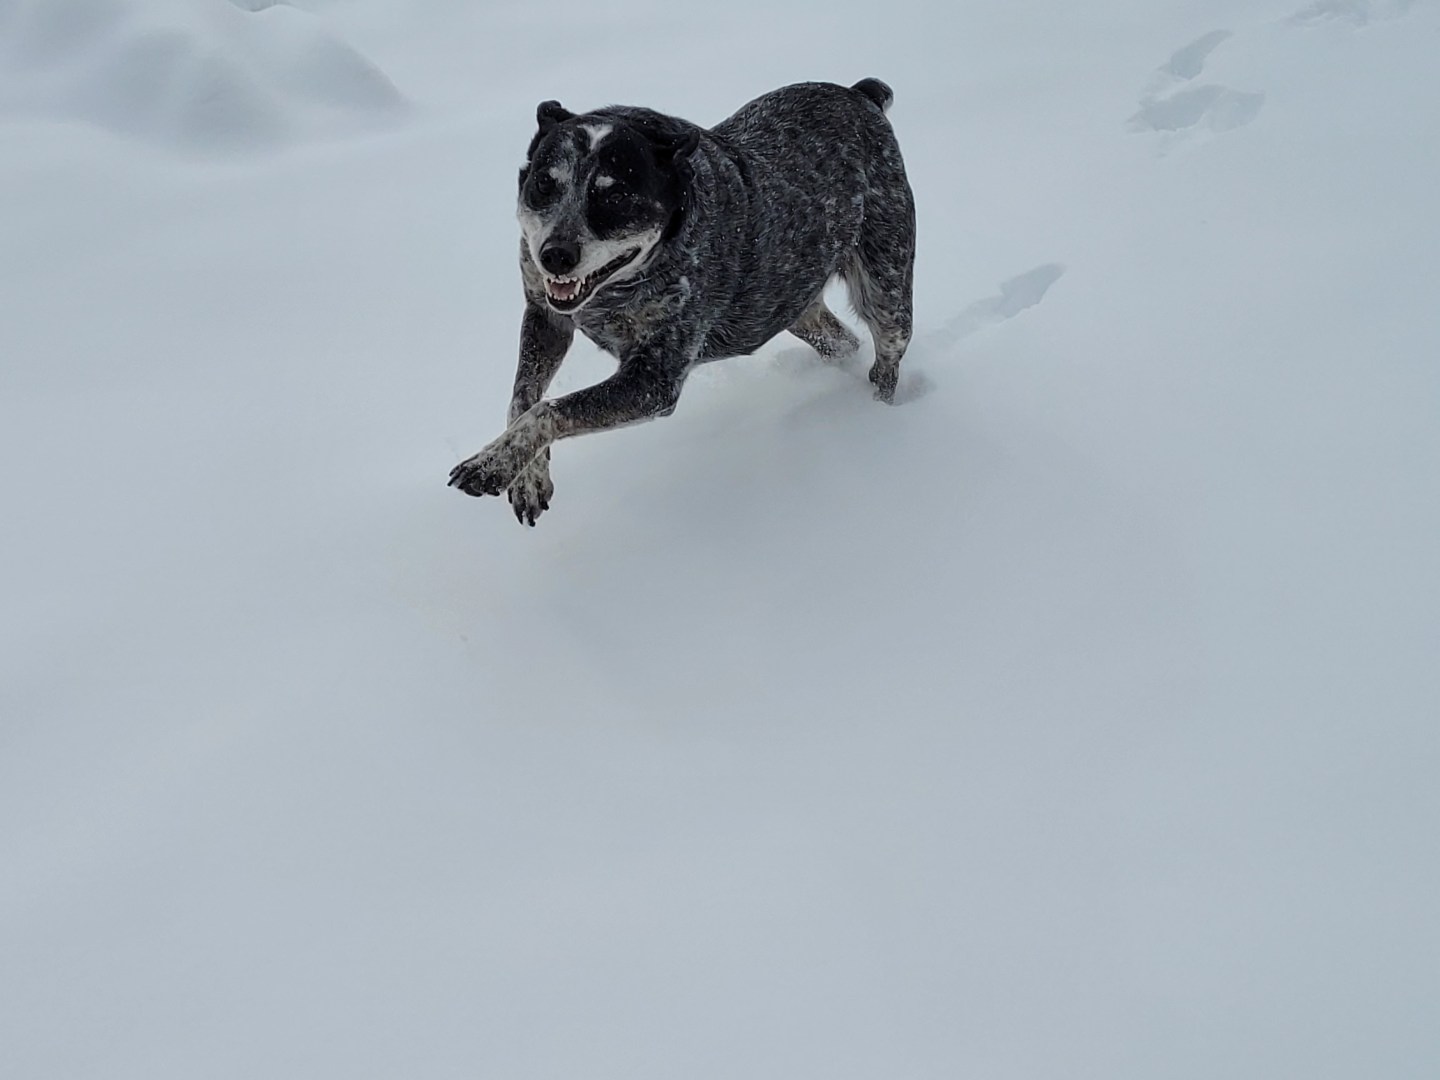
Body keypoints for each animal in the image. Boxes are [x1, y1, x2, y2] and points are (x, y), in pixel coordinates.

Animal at [449, 78, 915, 527]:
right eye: (545, 183)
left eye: (615, 196)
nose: (555, 255)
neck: (615, 292)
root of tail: (860, 94)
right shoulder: (545, 314)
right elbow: (522, 397)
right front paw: (526, 476)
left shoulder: (653, 379)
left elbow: (548, 410)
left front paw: (490, 465)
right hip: (788, 304)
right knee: (842, 341)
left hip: (887, 293)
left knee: (885, 361)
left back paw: (877, 415)